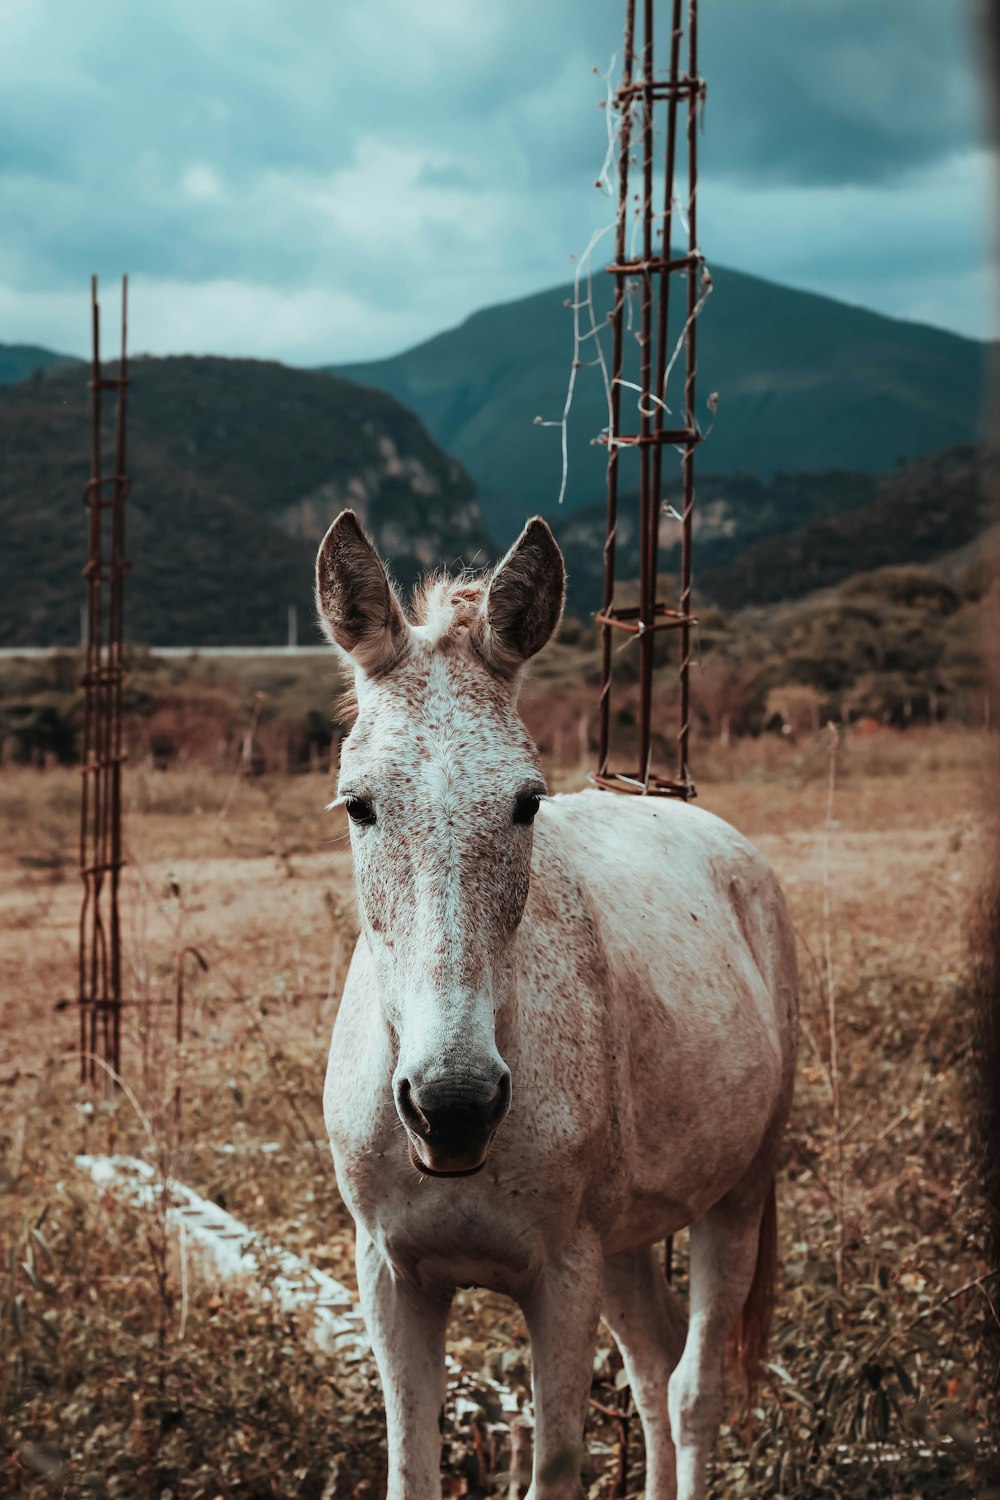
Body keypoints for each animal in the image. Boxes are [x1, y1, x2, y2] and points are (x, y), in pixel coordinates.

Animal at [316, 510, 803, 1494]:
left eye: (527, 803)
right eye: (358, 806)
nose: (452, 1106)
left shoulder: (562, 1277)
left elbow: (560, 1465)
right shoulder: (390, 1276)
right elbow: (411, 1468)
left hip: (735, 1197)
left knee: (691, 1390)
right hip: (627, 1242)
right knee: (654, 1366)